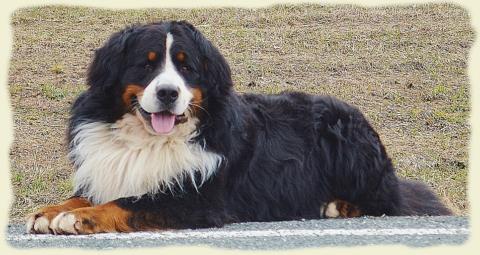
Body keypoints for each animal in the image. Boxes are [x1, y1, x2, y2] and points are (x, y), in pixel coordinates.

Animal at [26, 19, 452, 235]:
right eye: (146, 64)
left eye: (186, 66)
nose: (167, 93)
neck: (146, 139)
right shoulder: (111, 171)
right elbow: (88, 195)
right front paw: (51, 211)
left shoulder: (198, 199)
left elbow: (128, 203)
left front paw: (80, 219)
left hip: (348, 144)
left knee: (386, 202)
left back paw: (335, 206)